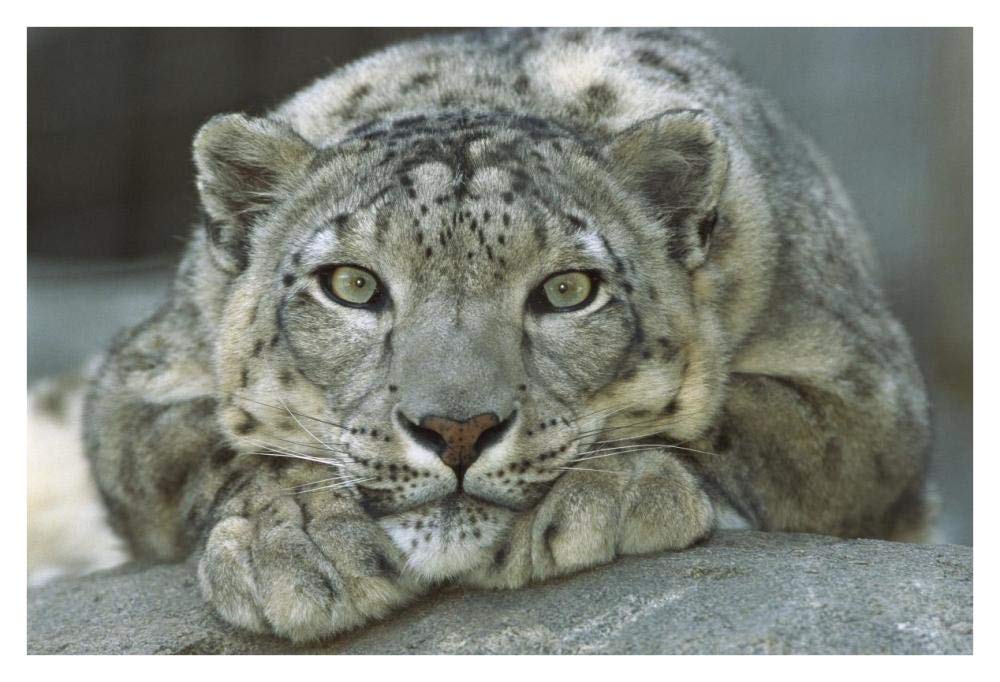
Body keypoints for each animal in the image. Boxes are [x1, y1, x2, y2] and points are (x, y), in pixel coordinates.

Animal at [75, 28, 931, 642]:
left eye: (567, 290)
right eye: (352, 285)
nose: (457, 429)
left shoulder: (864, 397)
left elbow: (736, 422)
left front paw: (609, 495)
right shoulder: (140, 379)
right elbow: (213, 444)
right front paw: (297, 546)